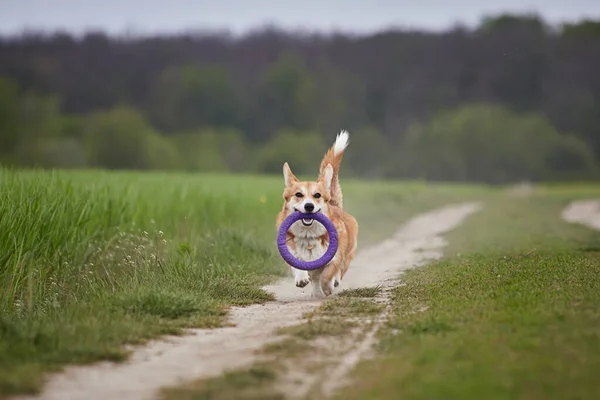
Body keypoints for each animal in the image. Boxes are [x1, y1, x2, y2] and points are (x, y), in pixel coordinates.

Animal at [276, 130, 358, 296]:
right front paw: (302, 279)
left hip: (348, 254)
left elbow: (327, 274)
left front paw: (328, 287)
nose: (309, 206)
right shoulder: (291, 253)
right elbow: (298, 265)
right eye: (298, 194)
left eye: (317, 195)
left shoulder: (335, 257)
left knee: (339, 271)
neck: (308, 235)